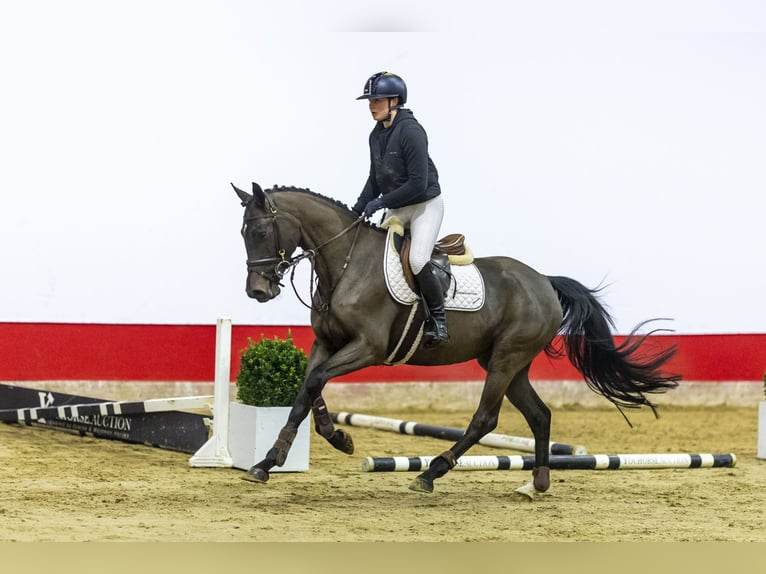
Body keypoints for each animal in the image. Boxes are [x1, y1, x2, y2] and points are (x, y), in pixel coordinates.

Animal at [231, 183, 680, 500]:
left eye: (260, 230)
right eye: (243, 232)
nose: (258, 291)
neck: (345, 263)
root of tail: (545, 281)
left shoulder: (367, 348)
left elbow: (315, 382)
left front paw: (291, 453)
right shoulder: (326, 344)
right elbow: (309, 389)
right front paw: (296, 452)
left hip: (505, 360)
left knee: (486, 418)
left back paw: (431, 473)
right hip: (509, 364)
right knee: (540, 416)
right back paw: (536, 483)